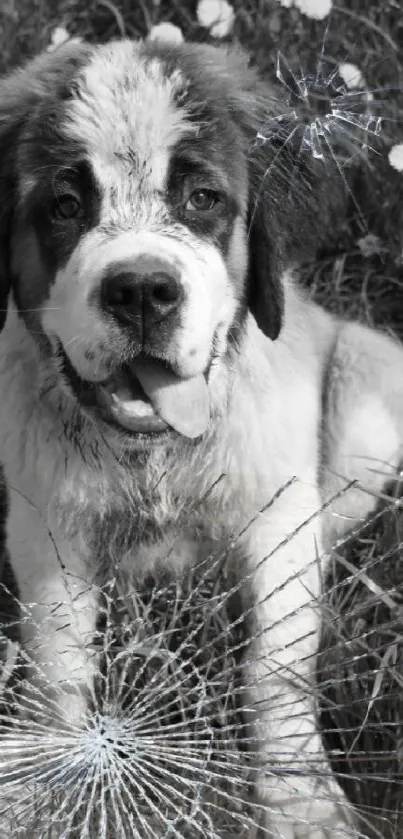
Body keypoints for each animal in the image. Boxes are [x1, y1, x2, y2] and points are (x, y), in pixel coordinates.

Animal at [0, 39, 403, 839]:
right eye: (65, 206)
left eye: (202, 201)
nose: (140, 291)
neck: (155, 452)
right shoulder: (44, 524)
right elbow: (59, 658)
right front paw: (48, 781)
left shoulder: (280, 515)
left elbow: (275, 668)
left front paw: (301, 801)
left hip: (372, 387)